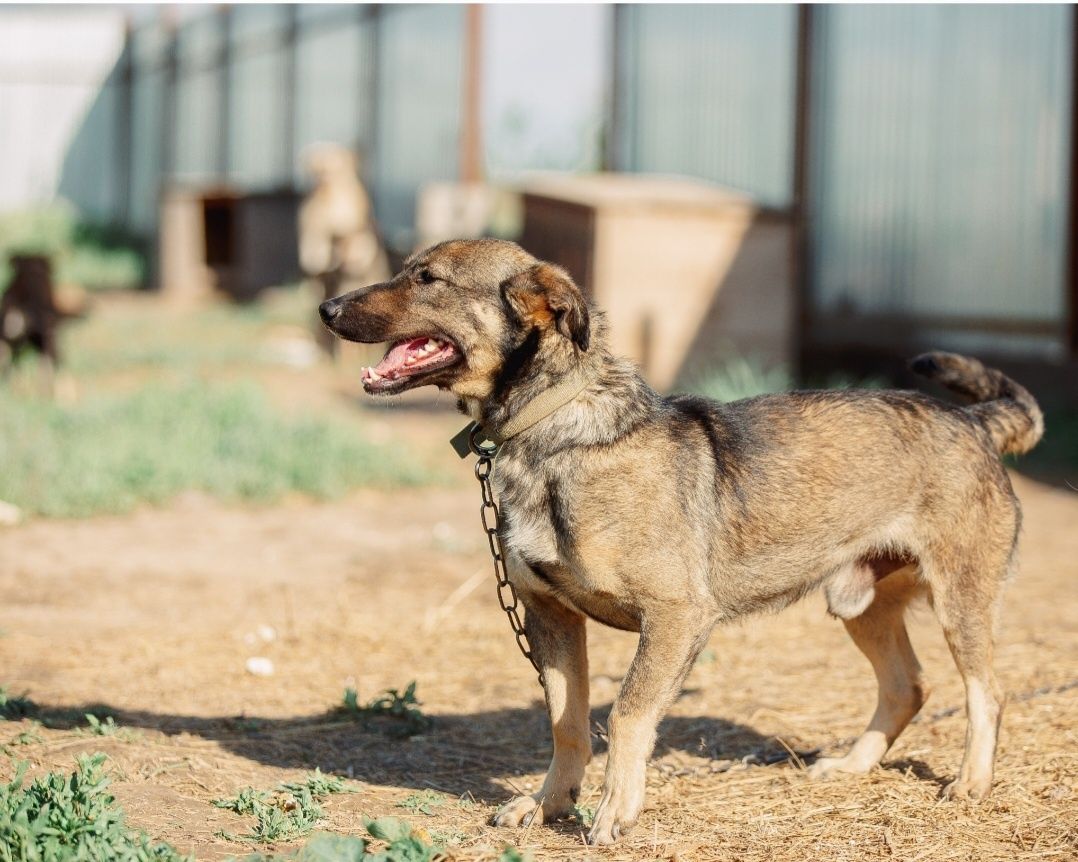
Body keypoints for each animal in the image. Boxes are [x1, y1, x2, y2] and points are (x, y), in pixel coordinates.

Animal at [316, 239, 1043, 844]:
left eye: (427, 279)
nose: (325, 308)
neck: (554, 436)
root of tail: (973, 421)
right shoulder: (549, 616)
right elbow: (567, 723)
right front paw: (550, 804)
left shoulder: (675, 619)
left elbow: (628, 713)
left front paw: (617, 809)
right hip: (860, 606)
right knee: (907, 688)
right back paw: (852, 765)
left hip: (960, 603)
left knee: (987, 692)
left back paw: (970, 782)